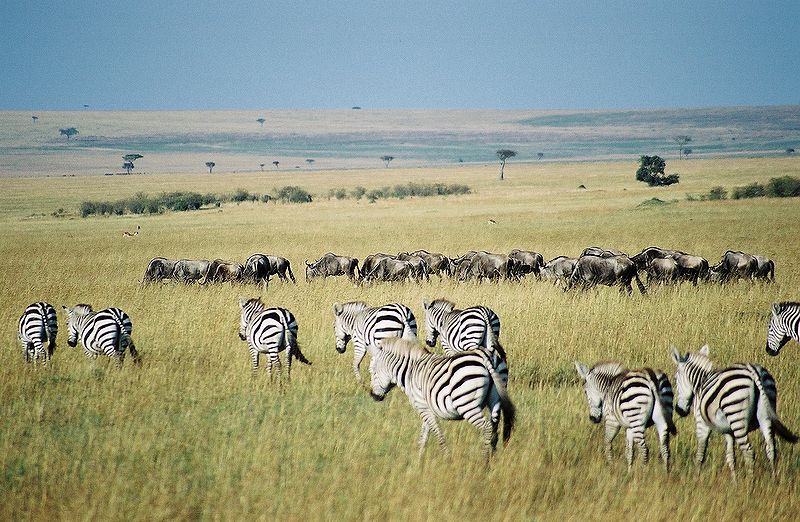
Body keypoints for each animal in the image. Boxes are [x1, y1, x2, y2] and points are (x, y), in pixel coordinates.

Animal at [370, 334, 520, 460]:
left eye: (372, 372)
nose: (373, 396)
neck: (410, 371)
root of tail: (484, 355)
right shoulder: (427, 408)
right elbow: (424, 435)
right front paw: (419, 461)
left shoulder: (422, 406)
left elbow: (437, 433)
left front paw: (447, 458)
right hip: (495, 399)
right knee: (494, 428)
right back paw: (492, 459)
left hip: (466, 405)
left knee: (487, 427)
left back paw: (483, 462)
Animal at [672, 344, 796, 474]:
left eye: (675, 379)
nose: (679, 410)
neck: (701, 381)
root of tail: (753, 371)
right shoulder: (728, 430)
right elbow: (731, 457)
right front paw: (734, 478)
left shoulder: (702, 423)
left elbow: (701, 453)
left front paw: (697, 476)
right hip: (766, 414)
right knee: (771, 449)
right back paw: (773, 477)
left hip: (736, 416)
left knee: (749, 451)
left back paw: (750, 479)